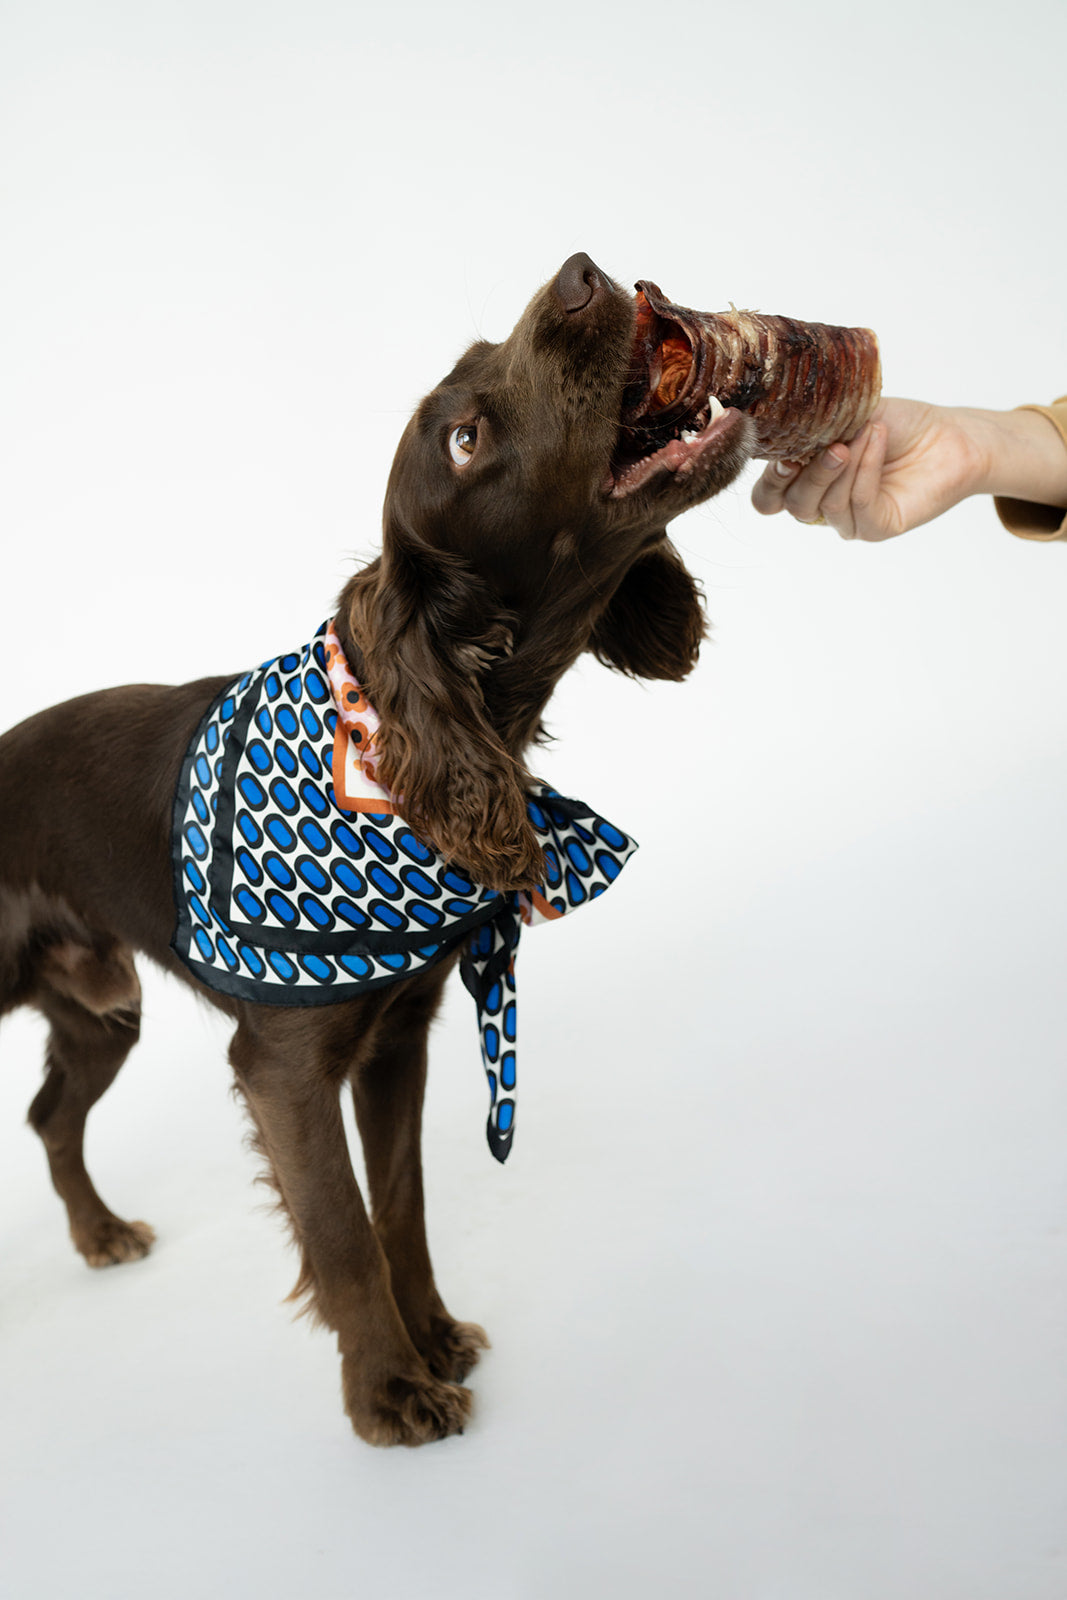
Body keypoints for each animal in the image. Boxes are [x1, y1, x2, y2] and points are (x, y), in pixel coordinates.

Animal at [0, 256, 751, 1446]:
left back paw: (98, 1234)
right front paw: (387, 1391)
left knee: (48, 1114)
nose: (584, 276)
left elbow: (400, 1203)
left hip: (99, 1010)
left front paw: (430, 1334)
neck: (401, 754)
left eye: (483, 363)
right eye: (464, 440)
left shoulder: (398, 1039)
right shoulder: (281, 1065)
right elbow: (343, 1230)